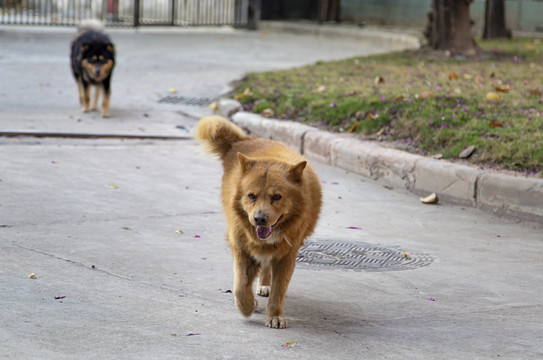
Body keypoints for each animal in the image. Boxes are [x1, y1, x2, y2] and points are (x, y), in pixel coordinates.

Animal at [197, 116, 320, 330]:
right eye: (251, 196)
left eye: (277, 197)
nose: (260, 218)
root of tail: (245, 140)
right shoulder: (241, 248)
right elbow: (240, 287)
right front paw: (248, 306)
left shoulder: (286, 255)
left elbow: (279, 290)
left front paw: (275, 315)